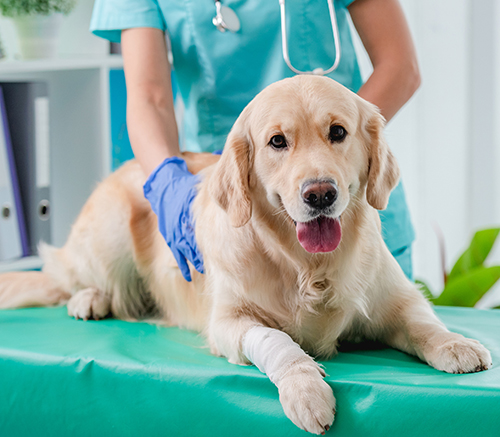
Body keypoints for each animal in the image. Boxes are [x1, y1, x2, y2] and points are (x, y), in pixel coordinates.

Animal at [0, 76, 492, 434]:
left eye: (338, 133)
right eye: (277, 142)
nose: (320, 193)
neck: (307, 268)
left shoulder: (395, 298)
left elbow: (423, 321)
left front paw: (456, 343)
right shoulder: (229, 323)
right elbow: (277, 341)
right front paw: (305, 388)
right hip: (109, 228)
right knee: (67, 275)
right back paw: (90, 299)